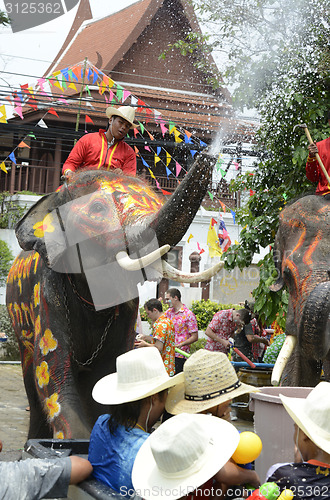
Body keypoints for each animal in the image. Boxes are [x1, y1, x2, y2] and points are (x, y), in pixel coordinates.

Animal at [5, 156, 224, 438]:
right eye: (97, 208)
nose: (208, 155)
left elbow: (112, 370)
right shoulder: (48, 290)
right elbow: (51, 370)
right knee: (31, 377)